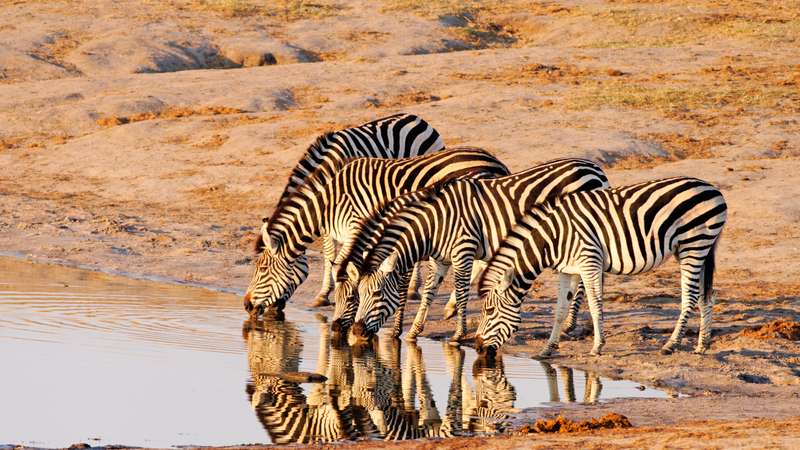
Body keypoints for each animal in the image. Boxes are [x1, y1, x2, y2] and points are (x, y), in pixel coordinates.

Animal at [244, 147, 510, 316]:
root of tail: (495, 161)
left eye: (262, 269)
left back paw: (454, 305)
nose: (246, 306)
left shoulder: (356, 226)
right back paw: (453, 305)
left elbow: (345, 267)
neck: (330, 201)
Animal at [257, 113, 444, 308]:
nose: (249, 306)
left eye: (263, 269)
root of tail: (417, 118)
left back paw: (413, 288)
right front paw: (326, 293)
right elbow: (330, 255)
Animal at [342, 159, 609, 343]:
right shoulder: (441, 259)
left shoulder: (463, 250)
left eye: (375, 294)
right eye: (358, 294)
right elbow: (429, 292)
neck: (434, 224)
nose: (356, 331)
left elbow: (461, 292)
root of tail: (594, 168)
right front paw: (415, 330)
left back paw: (570, 325)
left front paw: (458, 334)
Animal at [475, 177, 727, 358]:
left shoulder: (590, 262)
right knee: (707, 295)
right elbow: (560, 309)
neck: (553, 238)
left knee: (691, 296)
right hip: (696, 249)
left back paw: (671, 345)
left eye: (489, 311)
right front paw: (547, 349)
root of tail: (713, 189)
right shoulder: (567, 269)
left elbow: (595, 305)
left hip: (693, 245)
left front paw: (597, 347)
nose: (477, 348)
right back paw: (702, 346)